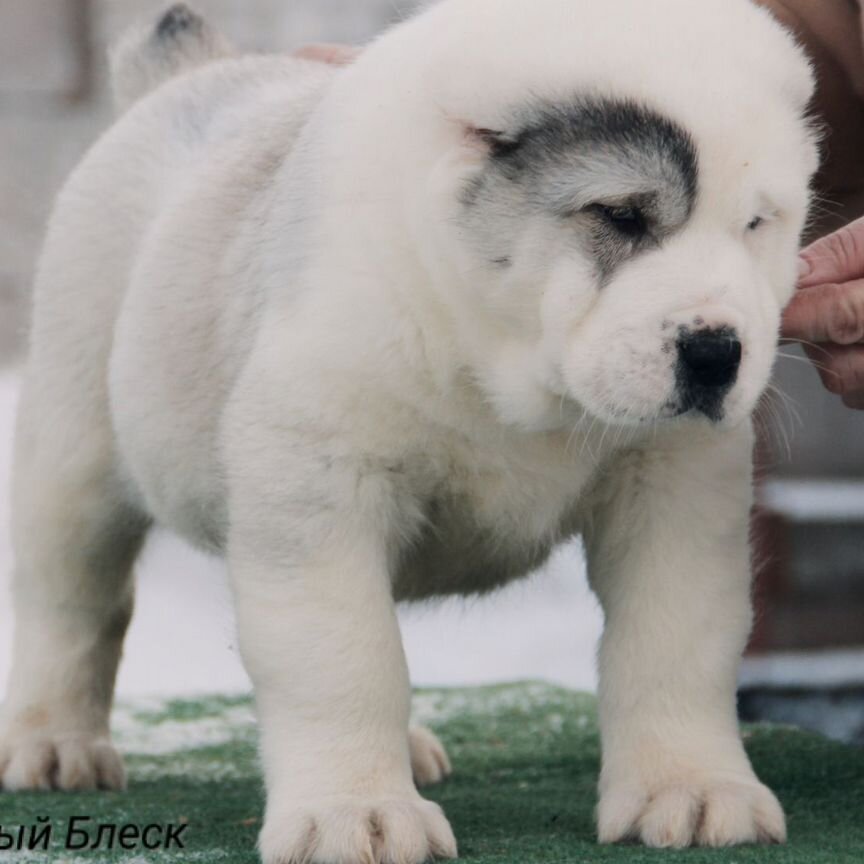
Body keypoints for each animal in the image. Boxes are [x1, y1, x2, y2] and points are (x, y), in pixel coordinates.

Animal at [0, 0, 816, 860]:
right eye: (621, 215)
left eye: (756, 224)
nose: (718, 352)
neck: (504, 360)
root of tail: (194, 77)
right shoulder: (321, 487)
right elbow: (344, 658)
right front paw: (353, 812)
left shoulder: (674, 488)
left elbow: (674, 639)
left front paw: (690, 786)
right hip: (75, 446)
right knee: (73, 602)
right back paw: (52, 743)